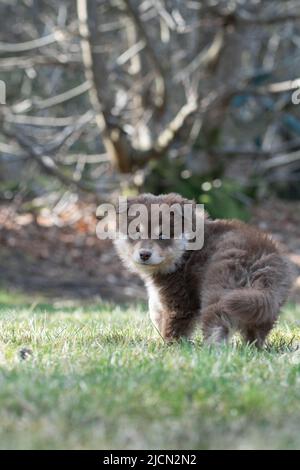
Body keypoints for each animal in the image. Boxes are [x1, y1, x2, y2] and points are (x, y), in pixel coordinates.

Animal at [113, 193, 292, 346]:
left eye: (163, 235)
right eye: (136, 232)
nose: (144, 254)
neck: (186, 251)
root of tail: (260, 258)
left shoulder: (180, 300)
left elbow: (173, 325)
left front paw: (169, 345)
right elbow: (155, 310)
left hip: (218, 290)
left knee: (216, 324)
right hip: (267, 301)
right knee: (258, 329)